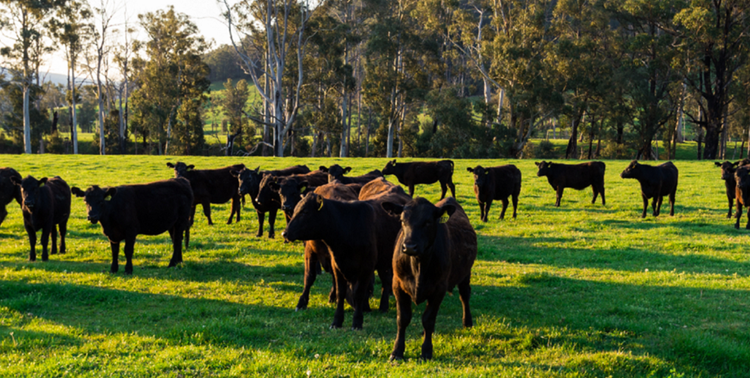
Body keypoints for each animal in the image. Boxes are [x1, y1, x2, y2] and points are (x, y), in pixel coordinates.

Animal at [384, 196, 478, 362]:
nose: (409, 246)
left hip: (465, 273)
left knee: (465, 295)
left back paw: (467, 322)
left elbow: (428, 319)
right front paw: (397, 351)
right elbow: (402, 319)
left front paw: (426, 351)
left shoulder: (439, 289)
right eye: (402, 220)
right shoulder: (397, 285)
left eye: (428, 222)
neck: (418, 265)